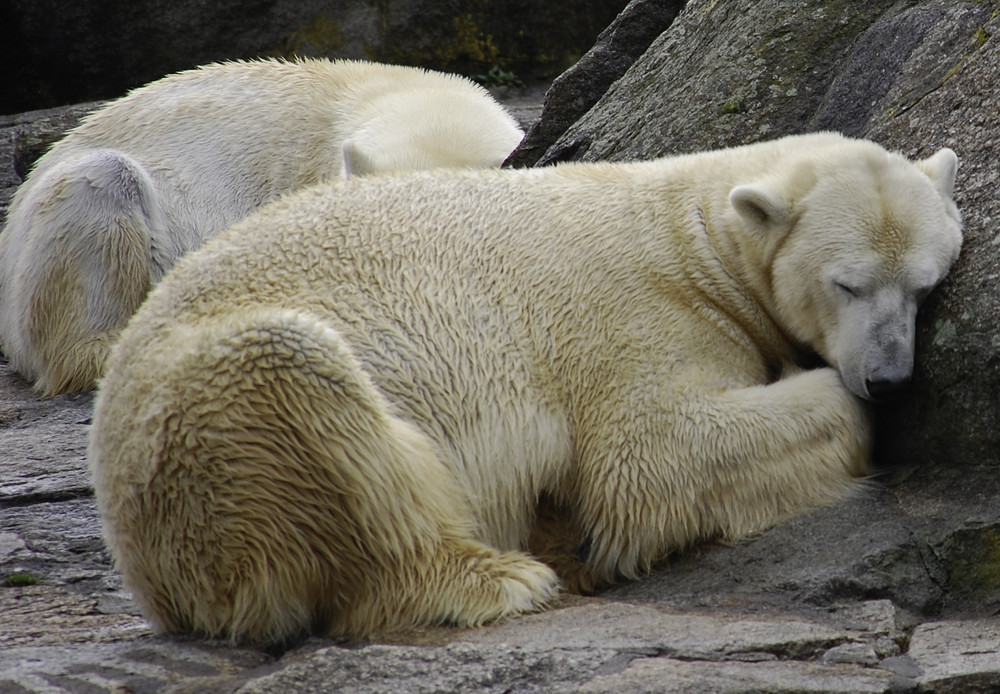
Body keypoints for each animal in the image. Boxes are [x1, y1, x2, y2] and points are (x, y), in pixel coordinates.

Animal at [90, 132, 964, 648]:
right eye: (847, 284)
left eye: (924, 285)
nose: (889, 377)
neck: (695, 239)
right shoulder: (630, 325)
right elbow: (649, 457)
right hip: (208, 436)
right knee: (303, 379)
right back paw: (497, 577)